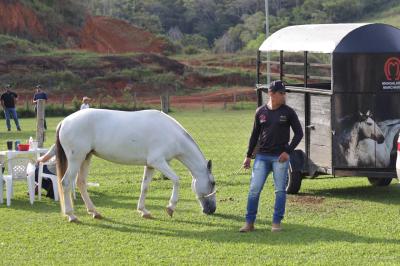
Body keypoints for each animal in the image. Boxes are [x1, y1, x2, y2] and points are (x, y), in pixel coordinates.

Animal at [56, 108, 216, 222]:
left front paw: (143, 211)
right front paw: (170, 207)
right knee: (66, 183)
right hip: (76, 159)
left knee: (81, 183)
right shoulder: (158, 162)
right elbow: (176, 180)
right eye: (213, 183)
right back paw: (71, 215)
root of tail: (64, 122)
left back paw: (94, 212)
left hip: (86, 157)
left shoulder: (150, 165)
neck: (172, 134)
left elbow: (144, 187)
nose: (212, 209)